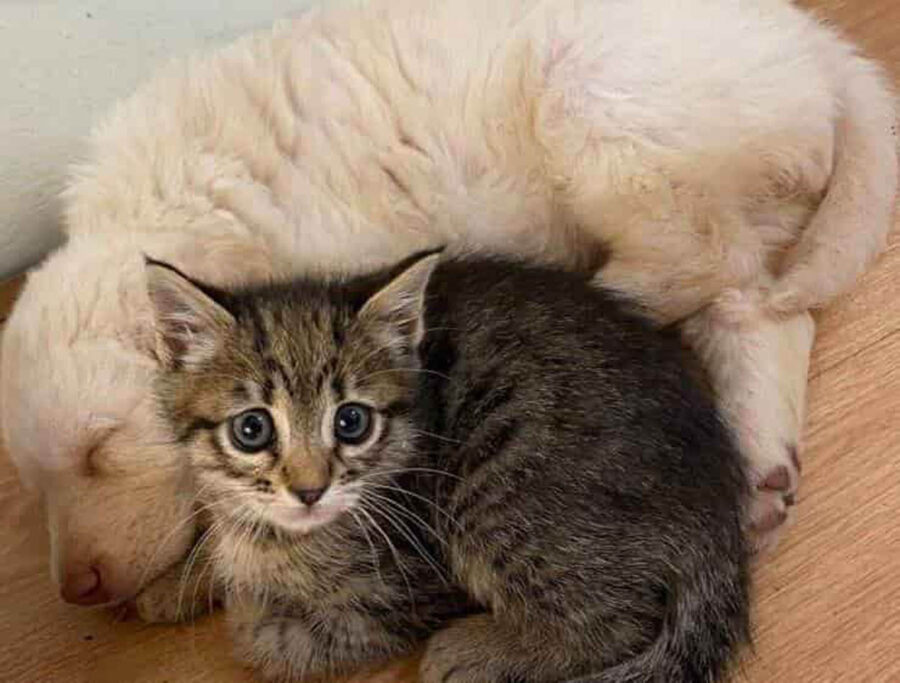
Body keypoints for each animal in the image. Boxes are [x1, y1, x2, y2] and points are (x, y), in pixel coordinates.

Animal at [0, 0, 892, 608]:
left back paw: (596, 293)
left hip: (602, 106)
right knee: (762, 304)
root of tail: (817, 42)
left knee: (704, 258)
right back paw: (764, 468)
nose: (78, 590)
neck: (167, 212)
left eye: (101, 450)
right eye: (34, 486)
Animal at [149, 252, 752, 683]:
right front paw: (170, 584)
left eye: (351, 422)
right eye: (252, 429)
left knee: (619, 619)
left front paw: (246, 608)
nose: (310, 490)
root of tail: (718, 508)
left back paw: (474, 650)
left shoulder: (410, 593)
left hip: (496, 492)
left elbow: (278, 640)